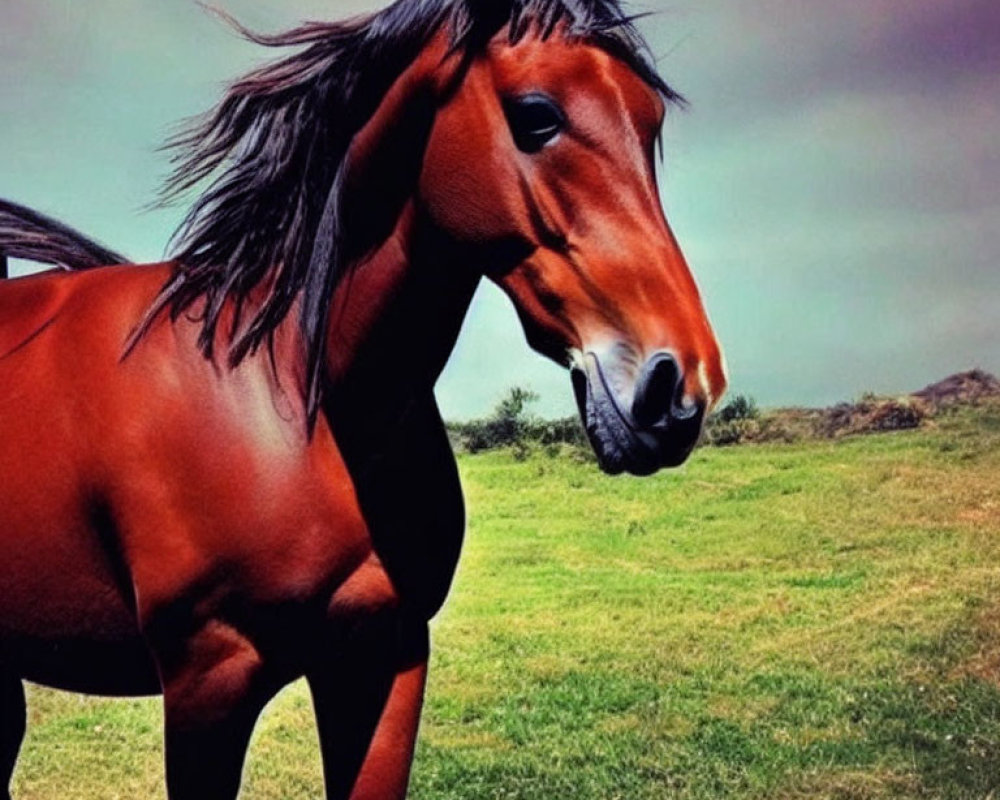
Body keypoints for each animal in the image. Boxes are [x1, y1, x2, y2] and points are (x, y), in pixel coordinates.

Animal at [0, 1, 724, 800]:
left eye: (651, 121)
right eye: (537, 115)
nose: (678, 387)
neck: (301, 396)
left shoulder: (383, 657)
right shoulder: (207, 683)